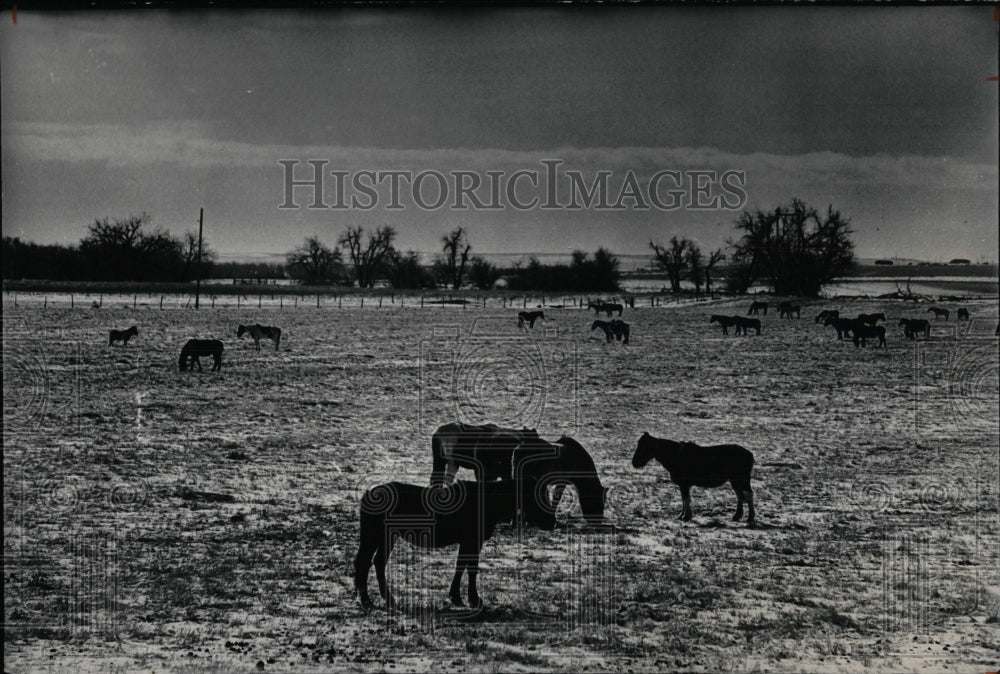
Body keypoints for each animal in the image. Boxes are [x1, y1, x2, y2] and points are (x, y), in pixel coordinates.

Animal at [354, 478, 556, 608]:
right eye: (537, 495)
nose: (551, 522)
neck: (486, 501)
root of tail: (367, 494)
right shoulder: (472, 541)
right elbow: (471, 568)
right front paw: (473, 599)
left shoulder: (468, 543)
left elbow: (461, 566)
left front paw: (456, 596)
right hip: (377, 537)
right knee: (365, 562)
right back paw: (367, 599)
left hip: (386, 537)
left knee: (376, 562)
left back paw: (385, 598)